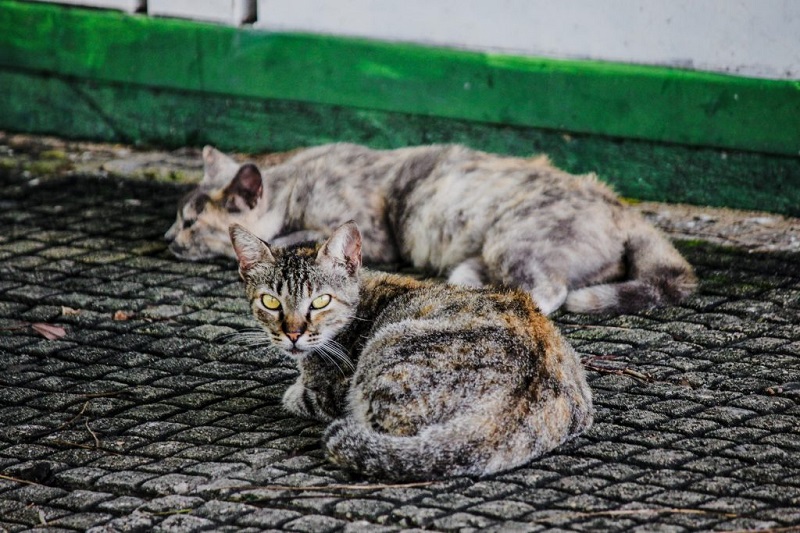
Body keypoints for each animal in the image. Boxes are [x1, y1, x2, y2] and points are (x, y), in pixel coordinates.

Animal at [172, 143, 696, 314]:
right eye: (178, 216)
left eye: (191, 223)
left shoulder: (370, 233)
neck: (294, 180)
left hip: (515, 238)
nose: (168, 238)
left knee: (548, 291)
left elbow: (295, 237)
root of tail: (622, 206)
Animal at [228, 222, 592, 480]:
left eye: (320, 302)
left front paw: (294, 390)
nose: (292, 333)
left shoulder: (331, 391)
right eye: (270, 301)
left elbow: (298, 396)